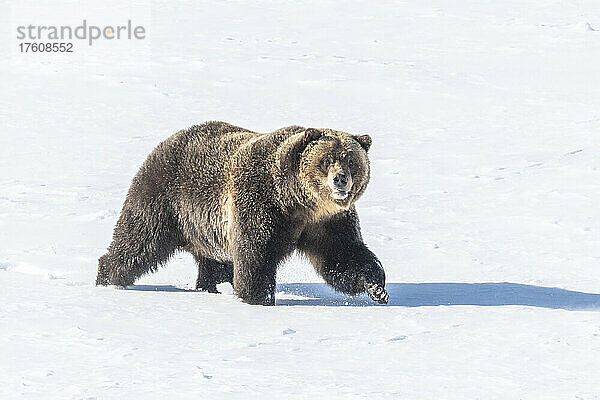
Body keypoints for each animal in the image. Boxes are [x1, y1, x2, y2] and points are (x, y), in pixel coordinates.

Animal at [97, 120, 390, 304]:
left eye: (351, 161)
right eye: (327, 160)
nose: (340, 179)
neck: (297, 202)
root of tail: (168, 140)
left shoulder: (327, 221)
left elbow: (342, 255)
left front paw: (377, 287)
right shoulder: (260, 200)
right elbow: (256, 252)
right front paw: (259, 297)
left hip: (208, 228)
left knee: (214, 261)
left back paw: (211, 287)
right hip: (166, 199)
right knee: (138, 240)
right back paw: (107, 278)